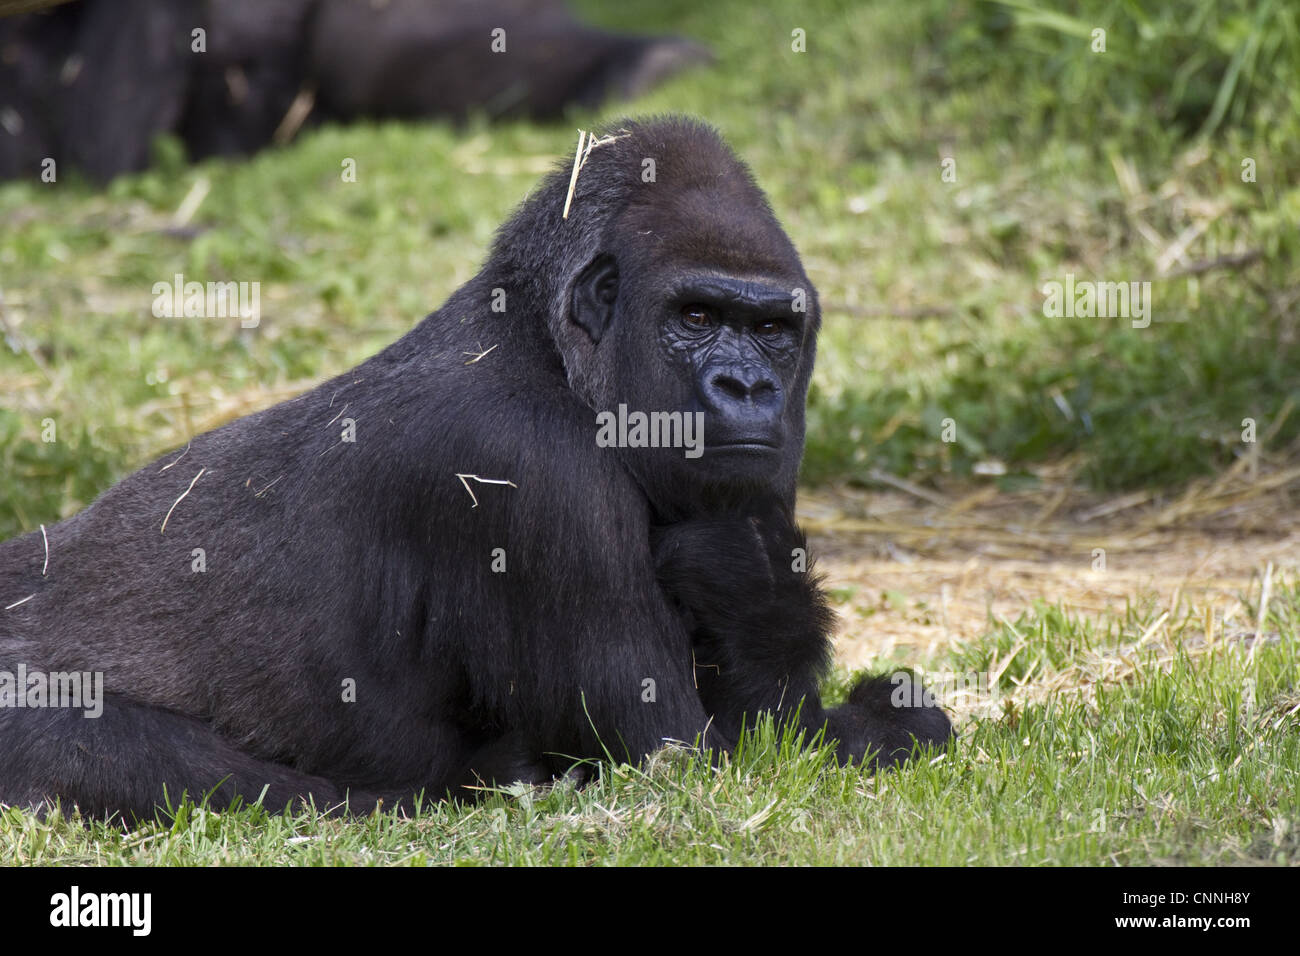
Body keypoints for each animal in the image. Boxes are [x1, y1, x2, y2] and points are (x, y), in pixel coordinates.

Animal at [0, 115, 951, 816]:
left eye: (772, 330)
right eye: (695, 316)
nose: (749, 387)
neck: (547, 350)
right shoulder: (531, 472)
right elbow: (694, 760)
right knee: (117, 752)